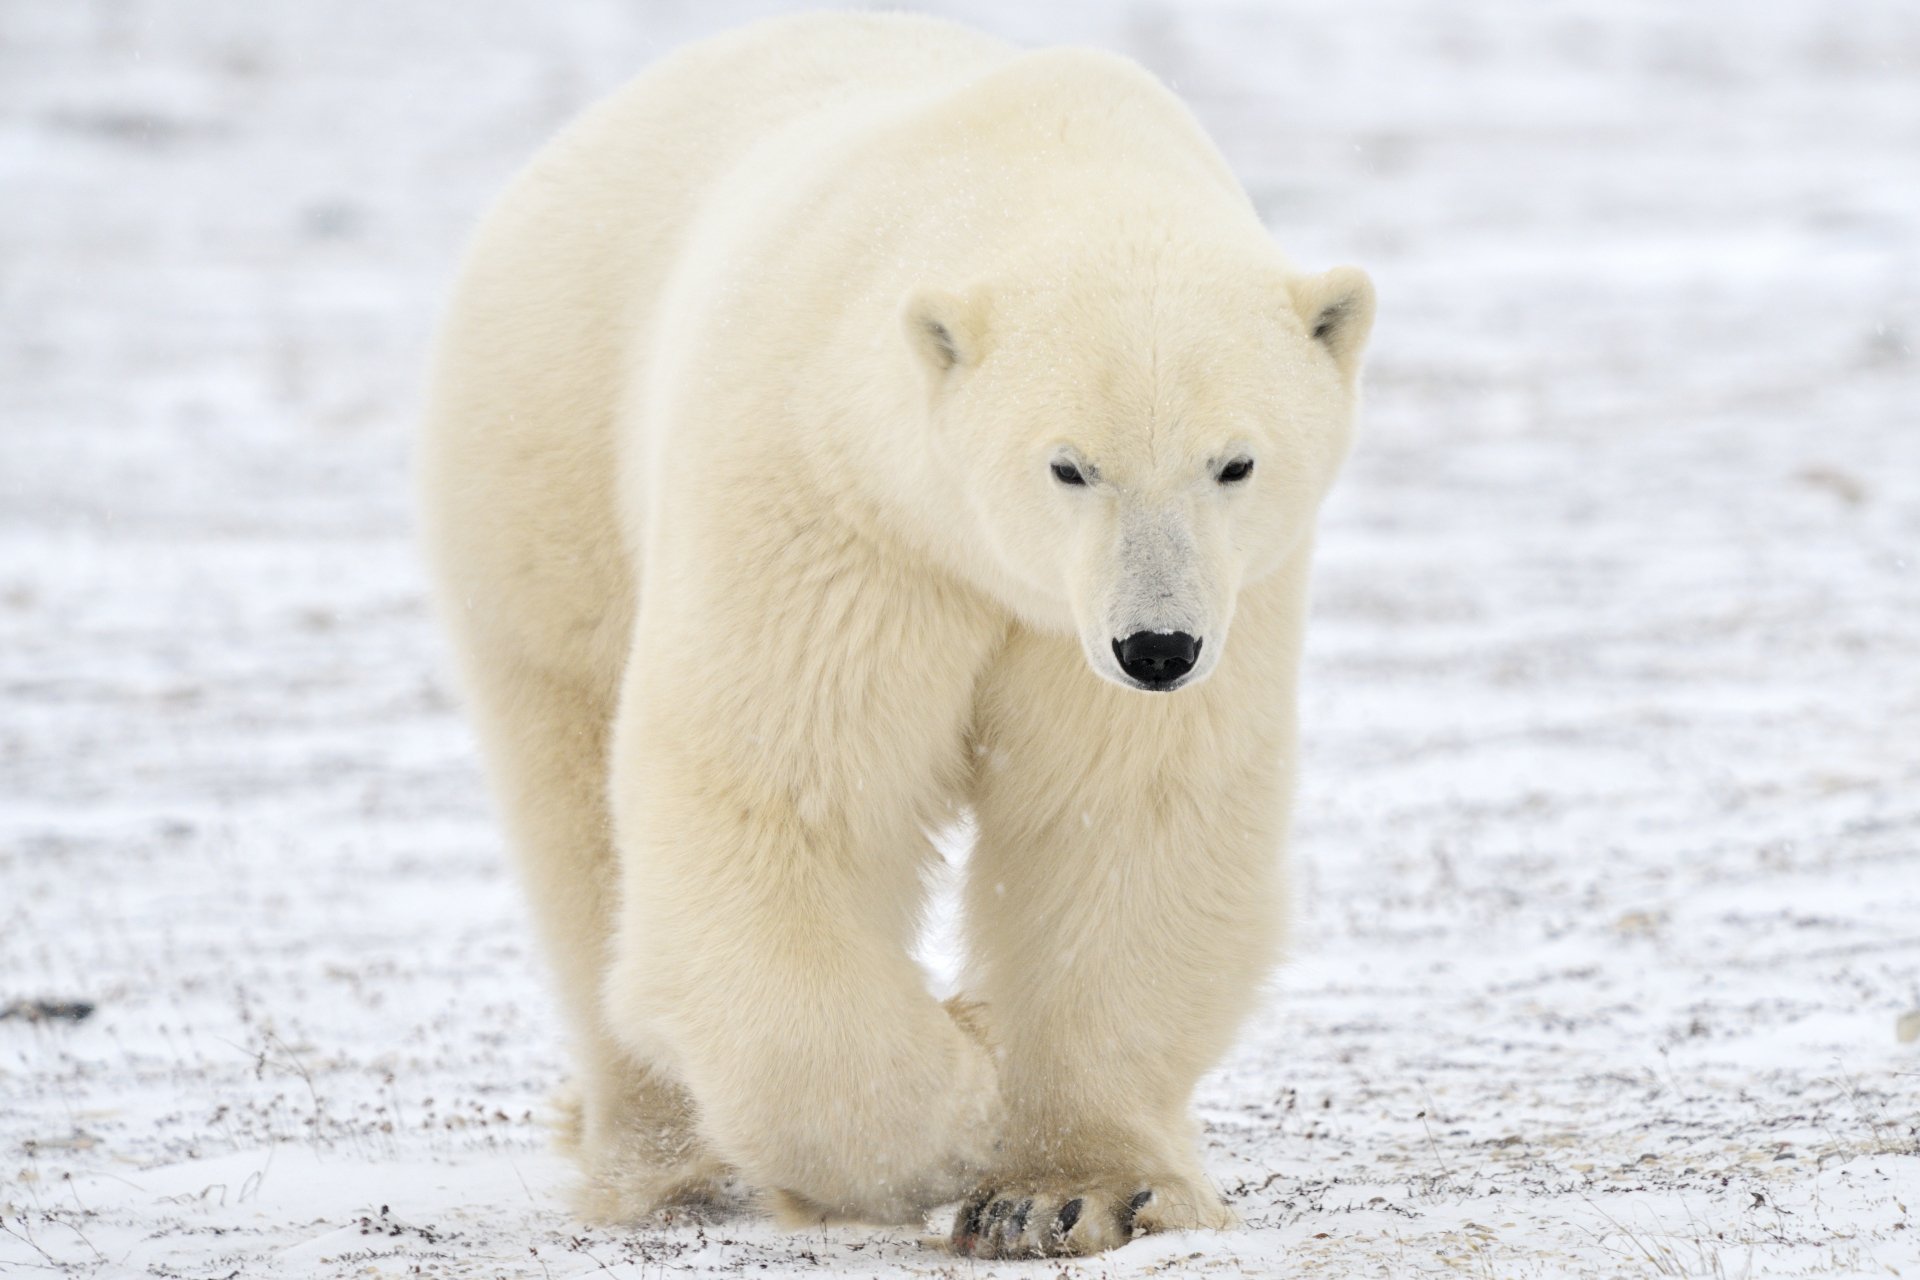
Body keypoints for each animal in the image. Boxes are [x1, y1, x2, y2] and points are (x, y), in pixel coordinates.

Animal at [418, 11, 1373, 1259]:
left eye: (1237, 460)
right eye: (1068, 465)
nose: (1156, 647)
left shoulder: (1178, 607)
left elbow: (1123, 815)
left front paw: (1073, 1186)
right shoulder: (835, 515)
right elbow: (780, 795)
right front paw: (955, 1113)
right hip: (547, 465)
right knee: (577, 808)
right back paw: (662, 1162)